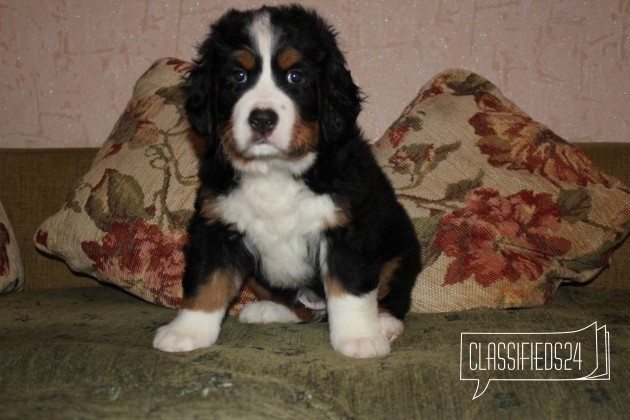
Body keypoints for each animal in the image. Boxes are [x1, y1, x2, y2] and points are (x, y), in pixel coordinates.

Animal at [152, 3, 420, 358]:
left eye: (296, 76)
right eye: (238, 76)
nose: (262, 119)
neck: (274, 170)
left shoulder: (347, 230)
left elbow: (349, 289)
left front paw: (359, 338)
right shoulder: (216, 226)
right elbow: (205, 282)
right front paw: (186, 331)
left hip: (400, 249)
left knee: (392, 292)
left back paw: (385, 322)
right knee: (300, 307)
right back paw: (267, 310)